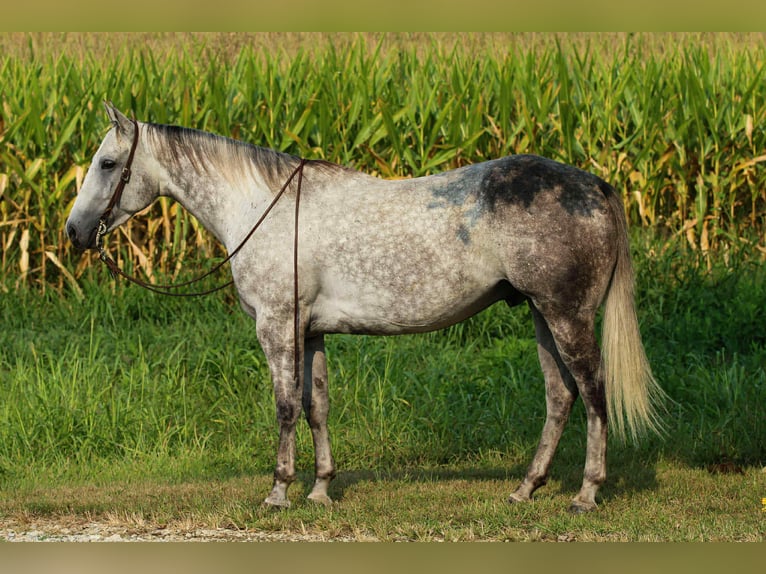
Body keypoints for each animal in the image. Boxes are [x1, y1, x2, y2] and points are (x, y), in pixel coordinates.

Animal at [66, 103, 664, 513]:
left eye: (108, 162)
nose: (74, 231)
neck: (263, 208)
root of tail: (595, 185)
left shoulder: (277, 328)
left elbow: (285, 407)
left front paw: (279, 492)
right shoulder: (310, 333)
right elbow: (317, 407)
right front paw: (320, 490)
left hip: (567, 316)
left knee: (593, 394)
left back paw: (585, 494)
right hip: (542, 315)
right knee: (560, 396)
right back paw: (525, 489)